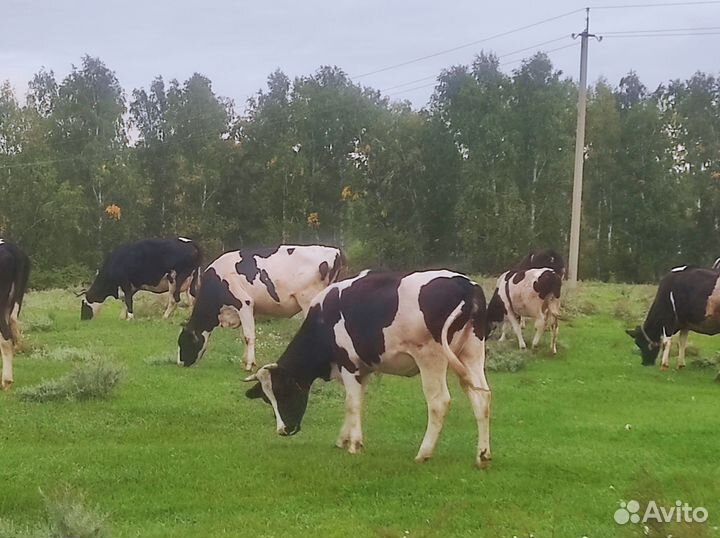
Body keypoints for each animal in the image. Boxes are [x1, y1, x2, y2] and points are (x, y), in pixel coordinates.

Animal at [177, 245, 346, 371]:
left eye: (183, 343)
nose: (180, 363)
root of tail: (335, 251)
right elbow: (244, 336)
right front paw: (246, 361)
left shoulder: (243, 303)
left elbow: (248, 336)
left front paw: (249, 365)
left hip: (310, 302)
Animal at [243, 270, 493, 468]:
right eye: (267, 398)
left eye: (283, 392)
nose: (282, 430)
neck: (324, 320)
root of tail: (465, 284)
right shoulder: (362, 370)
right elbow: (355, 402)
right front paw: (343, 440)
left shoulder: (349, 365)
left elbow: (351, 403)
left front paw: (354, 445)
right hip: (471, 353)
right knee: (482, 398)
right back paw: (482, 456)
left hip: (431, 358)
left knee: (439, 401)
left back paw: (423, 453)